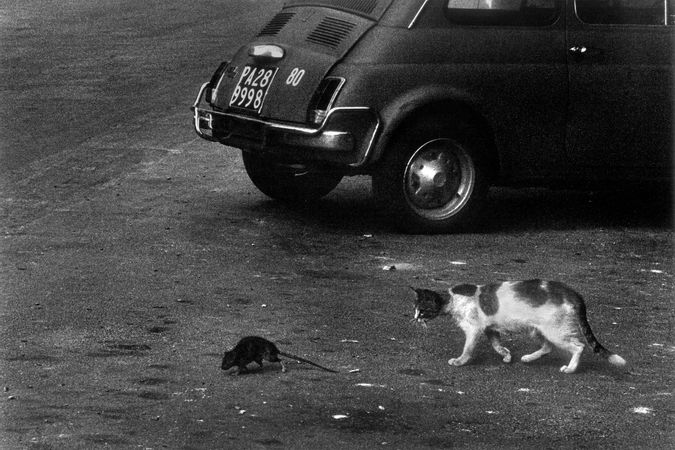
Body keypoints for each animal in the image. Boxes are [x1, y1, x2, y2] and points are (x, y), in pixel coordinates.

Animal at [412, 282, 628, 372]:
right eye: (414, 310)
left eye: (421, 311)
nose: (414, 320)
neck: (452, 299)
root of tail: (573, 293)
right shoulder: (491, 329)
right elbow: (497, 345)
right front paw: (507, 355)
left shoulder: (474, 329)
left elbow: (468, 349)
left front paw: (460, 361)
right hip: (537, 329)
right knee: (548, 347)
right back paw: (528, 358)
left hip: (555, 331)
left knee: (579, 346)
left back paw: (570, 369)